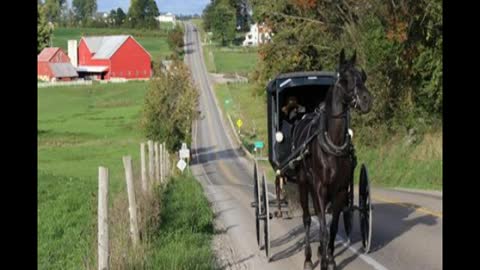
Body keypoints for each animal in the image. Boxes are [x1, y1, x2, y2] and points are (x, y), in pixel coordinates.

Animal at [290, 49, 374, 270]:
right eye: (344, 79)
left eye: (363, 76)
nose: (366, 100)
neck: (332, 145)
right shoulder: (320, 188)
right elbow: (323, 228)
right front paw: (323, 262)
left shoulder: (340, 191)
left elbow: (333, 227)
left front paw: (330, 257)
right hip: (304, 182)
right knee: (307, 219)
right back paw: (309, 258)